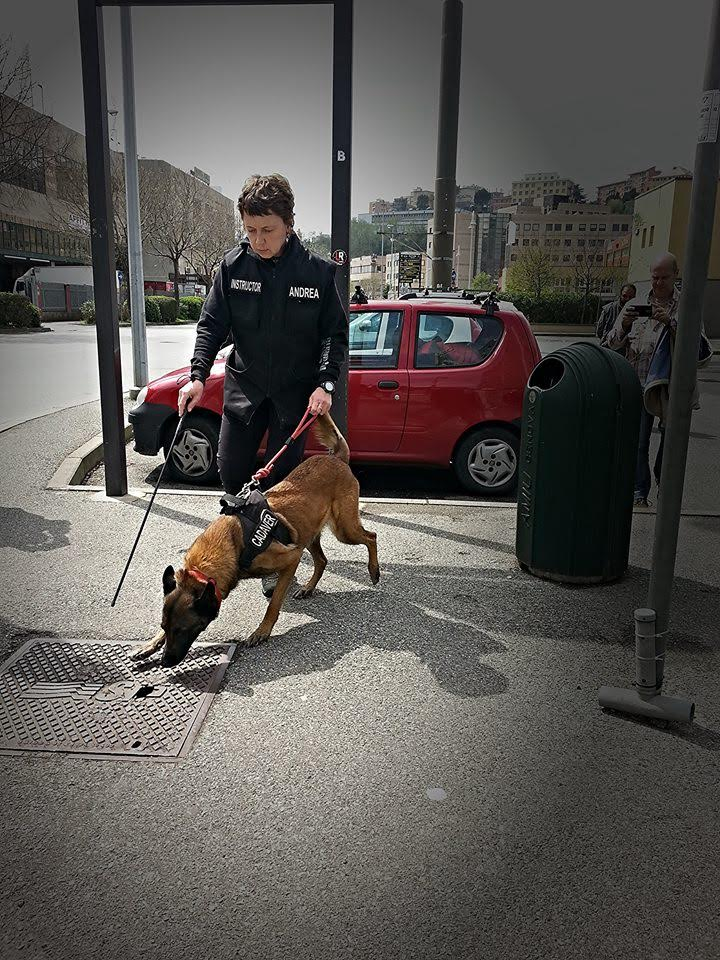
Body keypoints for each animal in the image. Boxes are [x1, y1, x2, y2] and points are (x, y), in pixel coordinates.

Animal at [132, 412, 380, 668]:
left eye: (183, 630)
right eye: (165, 627)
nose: (165, 662)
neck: (231, 545)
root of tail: (337, 459)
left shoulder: (291, 558)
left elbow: (273, 604)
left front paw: (262, 631)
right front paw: (150, 644)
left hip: (343, 530)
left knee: (371, 537)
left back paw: (374, 571)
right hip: (308, 534)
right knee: (322, 561)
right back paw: (309, 588)